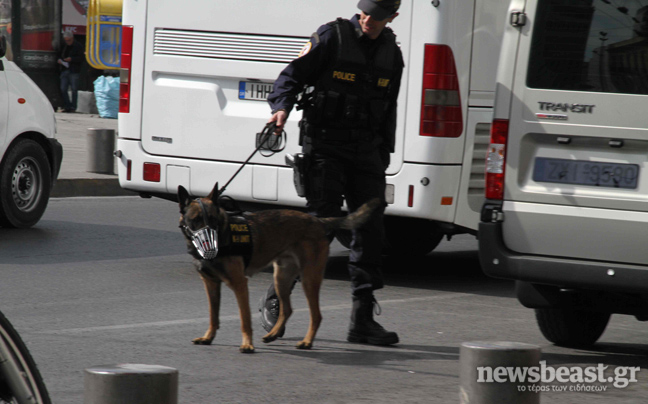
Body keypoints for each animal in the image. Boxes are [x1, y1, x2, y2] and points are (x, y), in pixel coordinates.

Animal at [177, 181, 380, 352]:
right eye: (196, 219)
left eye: (213, 219)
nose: (210, 245)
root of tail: (318, 221)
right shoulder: (210, 284)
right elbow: (213, 315)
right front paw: (208, 337)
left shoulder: (239, 284)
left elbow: (245, 318)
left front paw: (247, 344)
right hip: (281, 278)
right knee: (287, 309)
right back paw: (273, 334)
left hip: (308, 279)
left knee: (316, 315)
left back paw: (307, 341)